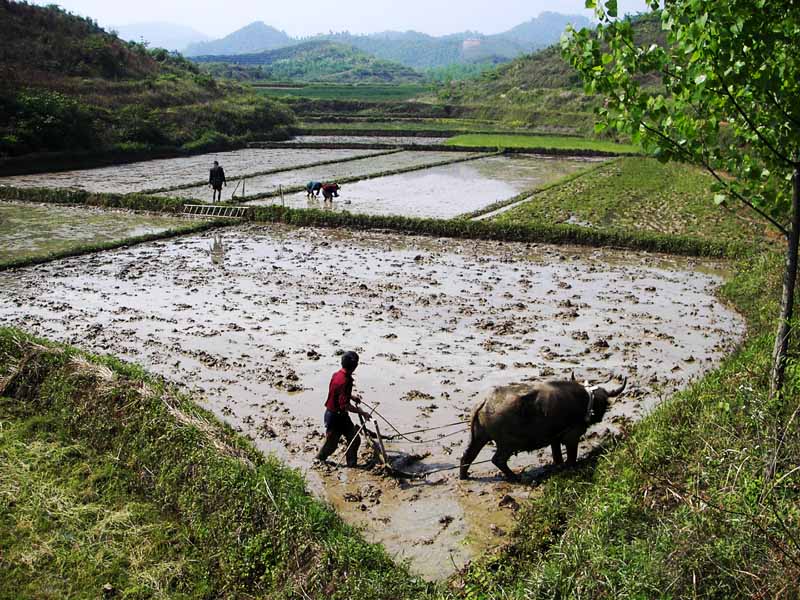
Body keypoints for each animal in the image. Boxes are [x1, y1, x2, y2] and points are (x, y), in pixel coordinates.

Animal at [462, 378, 624, 480]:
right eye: (604, 402)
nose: (600, 417)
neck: (586, 400)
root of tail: (486, 402)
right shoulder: (572, 437)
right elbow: (571, 457)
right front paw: (571, 467)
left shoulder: (555, 439)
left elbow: (557, 456)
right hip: (507, 445)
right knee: (498, 460)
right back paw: (515, 477)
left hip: (478, 437)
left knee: (467, 457)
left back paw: (464, 476)